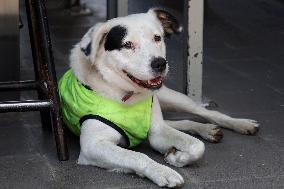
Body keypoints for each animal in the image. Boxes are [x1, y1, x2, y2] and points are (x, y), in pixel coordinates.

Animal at [59, 8, 260, 188]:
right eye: (127, 45)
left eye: (157, 38)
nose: (160, 63)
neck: (126, 95)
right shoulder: (93, 146)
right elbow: (137, 156)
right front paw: (163, 171)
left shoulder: (157, 132)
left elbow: (197, 146)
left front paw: (177, 157)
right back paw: (207, 130)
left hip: (173, 98)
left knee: (203, 112)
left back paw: (239, 124)